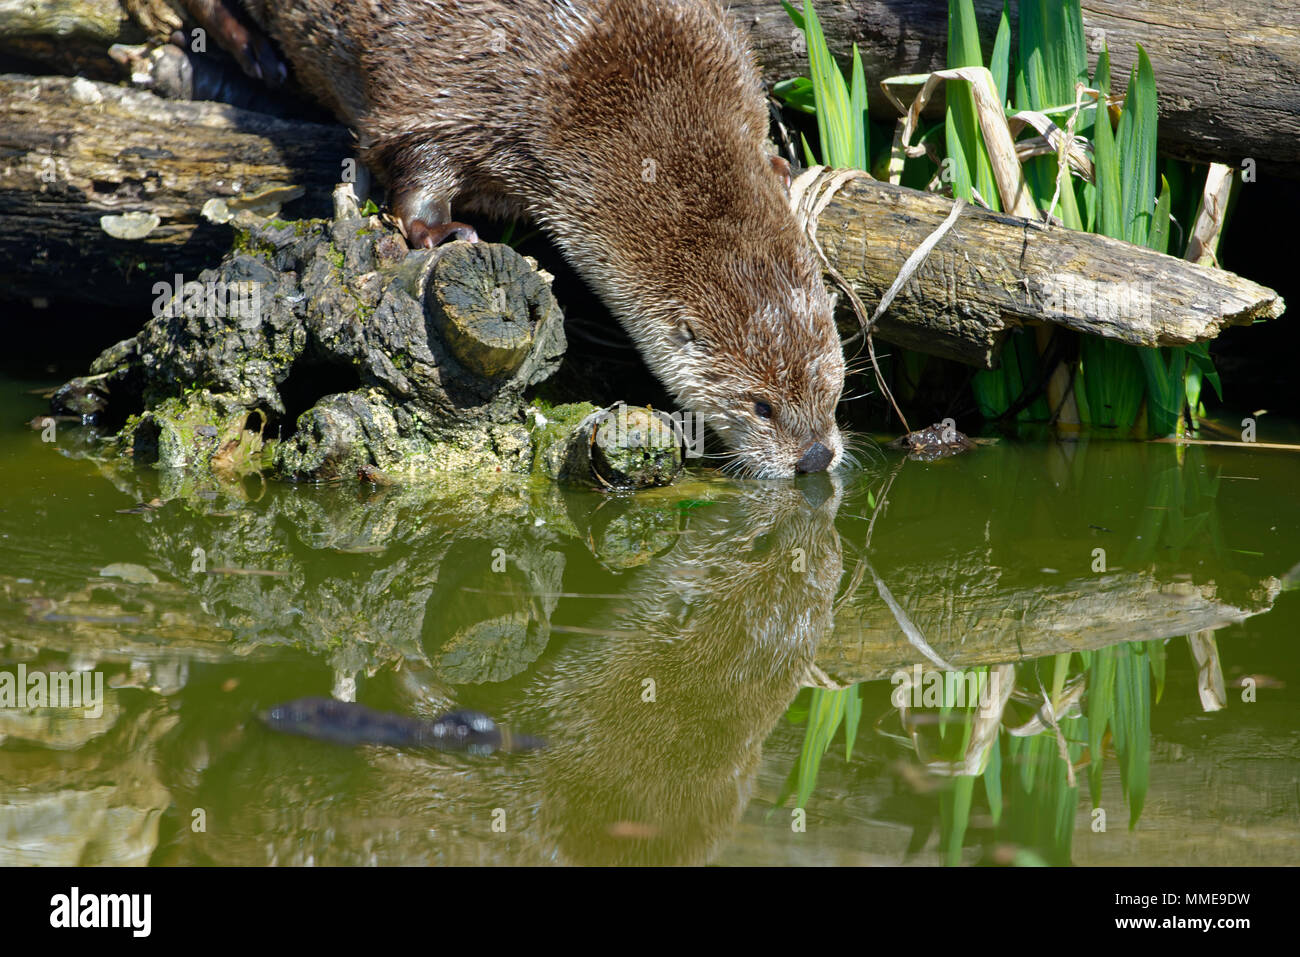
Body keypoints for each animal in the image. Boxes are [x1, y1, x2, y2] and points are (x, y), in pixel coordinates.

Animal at [182, 0, 847, 476]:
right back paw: (255, 52)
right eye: (762, 406)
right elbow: (408, 149)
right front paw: (436, 230)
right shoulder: (460, 85)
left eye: (834, 387)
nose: (816, 457)